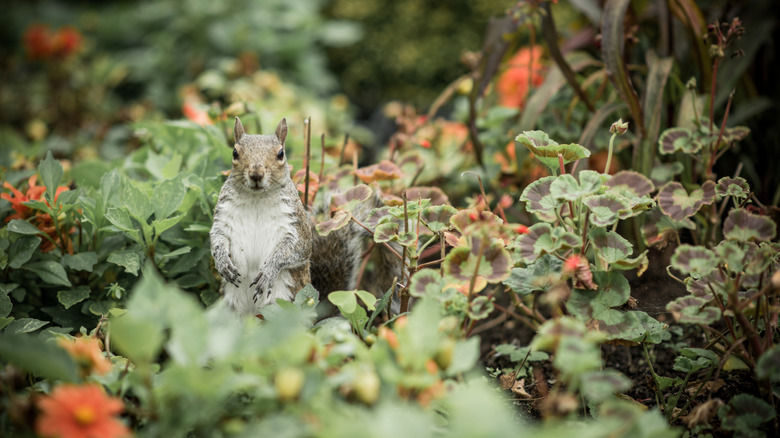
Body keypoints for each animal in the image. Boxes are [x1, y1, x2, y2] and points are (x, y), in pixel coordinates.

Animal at [210, 117, 401, 317]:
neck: (256, 199)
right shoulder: (223, 217)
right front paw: (222, 261)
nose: (256, 174)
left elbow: (297, 249)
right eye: (235, 152)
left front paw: (270, 270)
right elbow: (217, 239)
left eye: (280, 154)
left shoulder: (295, 224)